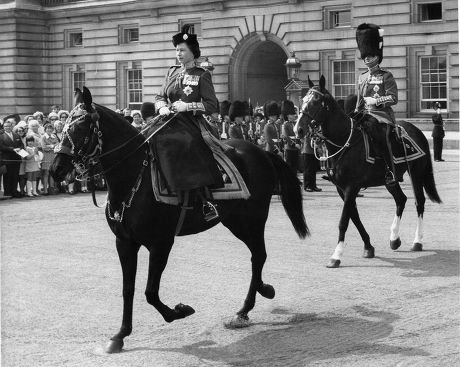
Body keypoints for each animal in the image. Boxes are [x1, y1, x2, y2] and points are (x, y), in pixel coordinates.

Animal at [49, 87, 310, 356]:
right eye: (65, 125)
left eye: (81, 126)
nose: (56, 169)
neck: (133, 178)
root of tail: (261, 151)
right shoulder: (125, 242)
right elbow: (128, 289)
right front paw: (120, 335)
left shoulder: (161, 243)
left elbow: (150, 292)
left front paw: (178, 311)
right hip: (235, 221)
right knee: (257, 255)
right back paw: (256, 298)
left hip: (253, 219)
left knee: (259, 256)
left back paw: (249, 305)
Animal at [294, 76, 442, 268]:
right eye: (303, 100)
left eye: (316, 102)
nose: (298, 129)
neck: (344, 141)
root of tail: (417, 130)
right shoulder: (342, 189)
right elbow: (354, 217)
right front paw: (368, 247)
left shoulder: (351, 187)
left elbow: (344, 221)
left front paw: (336, 255)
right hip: (390, 179)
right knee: (401, 200)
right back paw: (394, 238)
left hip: (415, 172)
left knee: (419, 202)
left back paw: (417, 241)